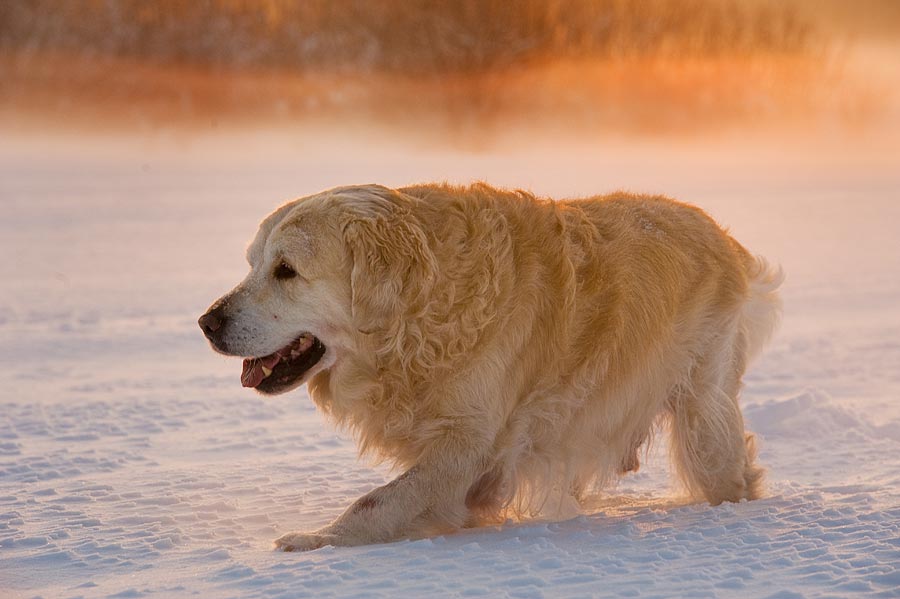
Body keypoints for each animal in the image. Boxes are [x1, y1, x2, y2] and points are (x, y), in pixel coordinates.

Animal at [197, 183, 780, 552]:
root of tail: (722, 234)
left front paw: (316, 541)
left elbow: (376, 502)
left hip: (703, 418)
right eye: (252, 264)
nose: (206, 322)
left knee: (730, 472)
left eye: (286, 271)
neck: (418, 318)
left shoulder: (468, 445)